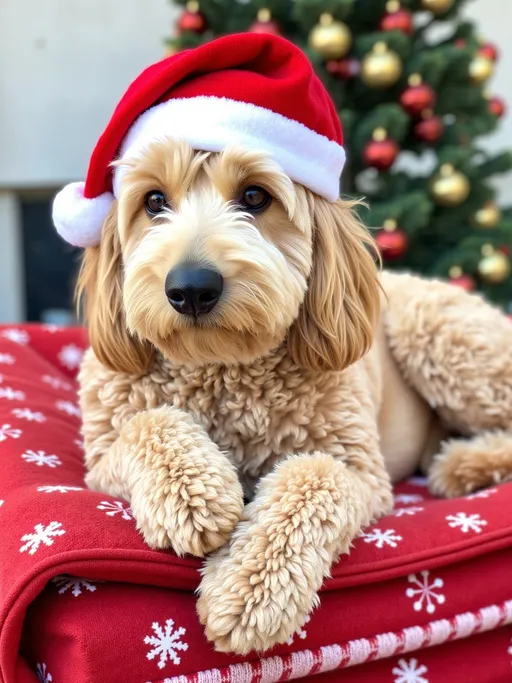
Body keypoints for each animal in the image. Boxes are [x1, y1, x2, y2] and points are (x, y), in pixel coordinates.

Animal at [53, 34, 512, 656]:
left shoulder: (360, 470)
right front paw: (194, 497)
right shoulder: (102, 457)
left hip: (441, 335)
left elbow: (312, 478)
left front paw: (250, 590)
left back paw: (465, 463)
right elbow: (145, 425)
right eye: (153, 202)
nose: (190, 289)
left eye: (254, 196)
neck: (224, 370)